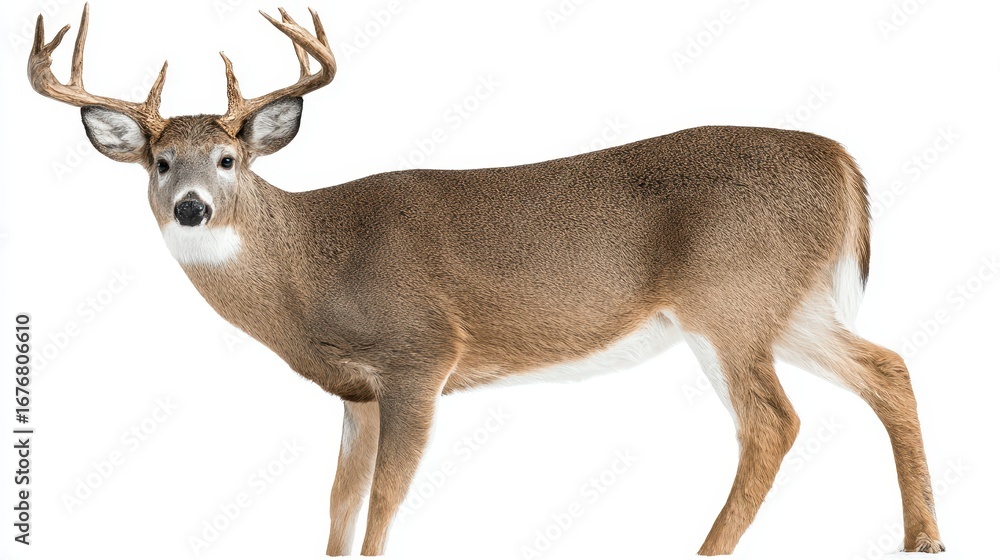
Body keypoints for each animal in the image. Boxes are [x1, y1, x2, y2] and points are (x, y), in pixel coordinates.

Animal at [27, 4, 944, 556]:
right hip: (790, 304)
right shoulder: (356, 391)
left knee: (773, 423)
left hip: (732, 298)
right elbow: (336, 507)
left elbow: (383, 503)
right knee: (889, 368)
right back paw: (923, 536)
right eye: (158, 160)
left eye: (228, 159)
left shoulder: (421, 354)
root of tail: (843, 160)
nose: (190, 206)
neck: (311, 267)